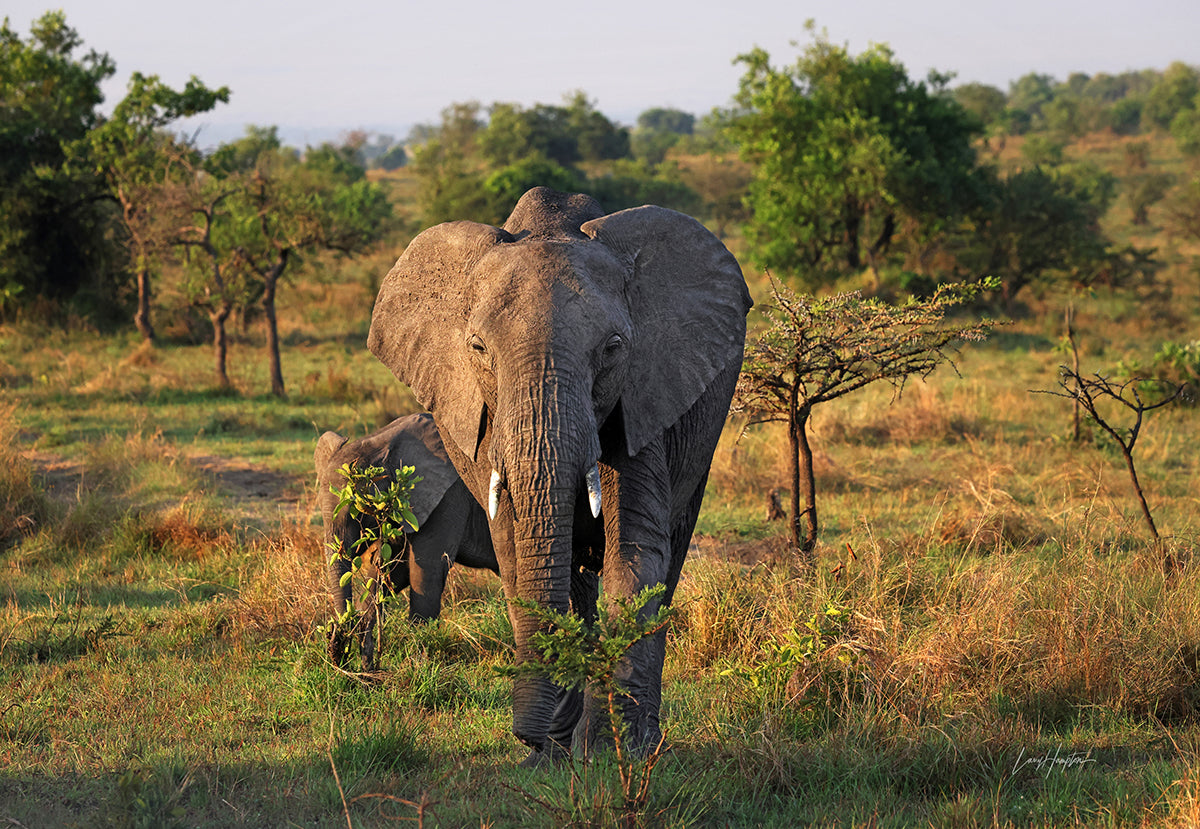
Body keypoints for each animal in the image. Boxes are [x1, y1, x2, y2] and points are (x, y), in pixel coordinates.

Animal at [316, 413, 498, 671]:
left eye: (358, 513)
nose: (339, 638)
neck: (381, 442)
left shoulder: (448, 495)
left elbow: (426, 571)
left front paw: (420, 656)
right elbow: (390, 572)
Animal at [368, 187, 751, 761]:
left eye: (613, 348)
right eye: (478, 348)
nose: (526, 733)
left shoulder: (643, 394)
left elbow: (636, 552)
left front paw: (614, 751)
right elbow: (516, 549)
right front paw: (552, 750)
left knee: (668, 558)